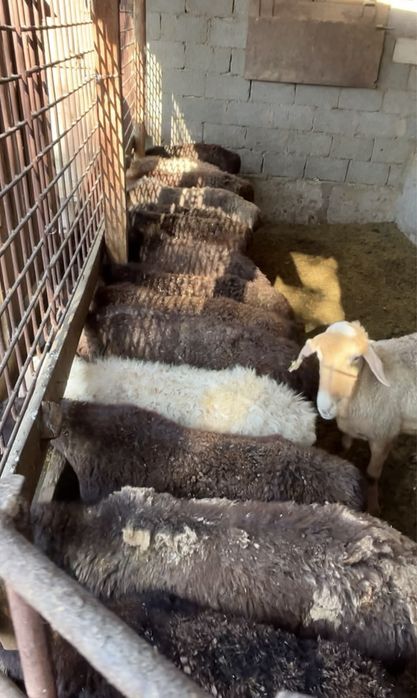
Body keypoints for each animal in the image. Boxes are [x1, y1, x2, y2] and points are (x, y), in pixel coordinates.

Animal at [289, 321, 417, 513]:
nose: (325, 407)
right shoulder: (350, 428)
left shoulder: (383, 437)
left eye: (356, 358)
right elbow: (345, 444)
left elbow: (372, 475)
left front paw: (373, 506)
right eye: (318, 356)